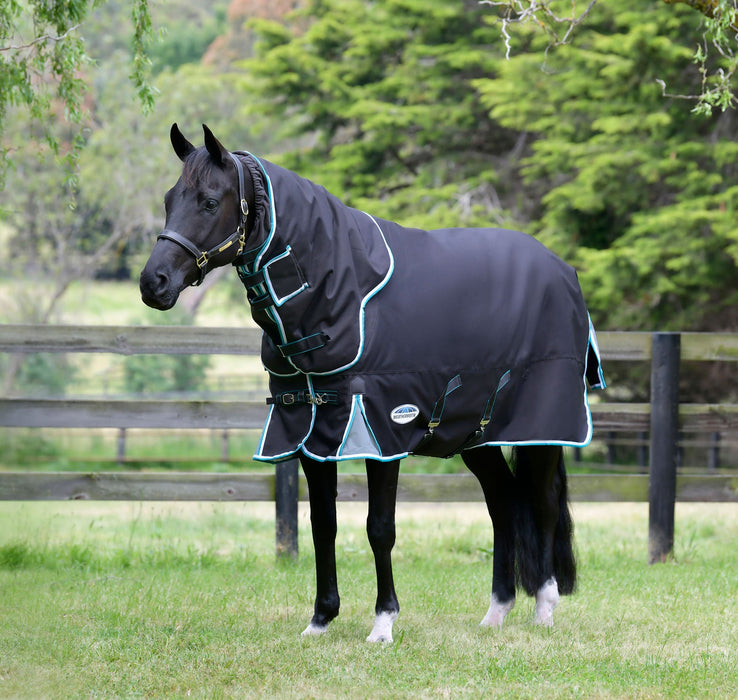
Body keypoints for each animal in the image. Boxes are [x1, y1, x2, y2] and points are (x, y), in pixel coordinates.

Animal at [140, 124, 605, 643]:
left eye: (208, 201)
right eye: (169, 199)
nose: (153, 283)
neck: (344, 290)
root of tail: (562, 271)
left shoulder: (383, 428)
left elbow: (379, 527)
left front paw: (383, 622)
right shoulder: (310, 429)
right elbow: (323, 524)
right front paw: (320, 619)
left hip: (541, 428)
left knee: (542, 505)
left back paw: (544, 608)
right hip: (475, 436)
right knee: (503, 503)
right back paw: (496, 612)